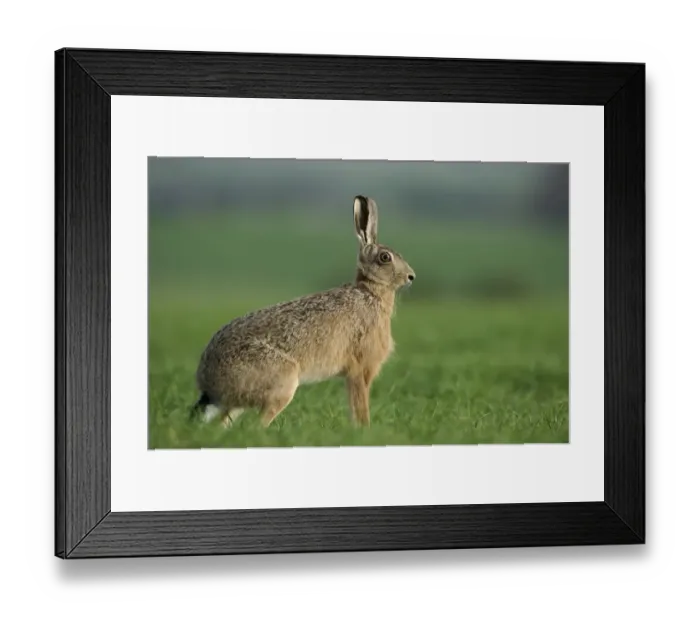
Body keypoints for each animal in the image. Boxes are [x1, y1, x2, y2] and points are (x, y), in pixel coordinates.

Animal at [190, 195, 415, 429]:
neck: (371, 292)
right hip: (282, 384)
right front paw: (364, 430)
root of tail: (209, 382)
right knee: (257, 425)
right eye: (385, 257)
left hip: (242, 401)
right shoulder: (360, 368)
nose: (411, 276)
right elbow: (360, 407)